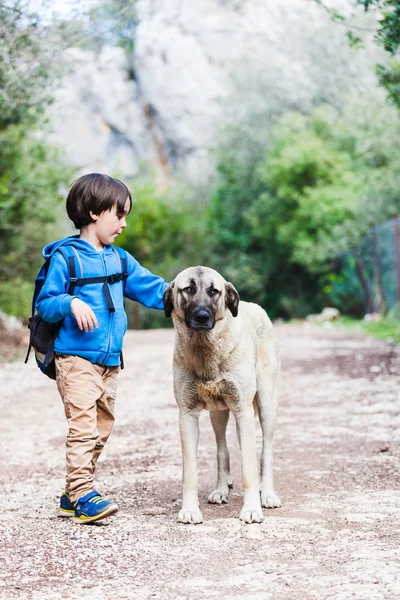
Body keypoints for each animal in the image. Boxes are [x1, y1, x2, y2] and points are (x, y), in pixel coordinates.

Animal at [162, 264, 282, 524]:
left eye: (214, 291)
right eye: (188, 289)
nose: (202, 316)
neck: (205, 349)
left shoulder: (243, 411)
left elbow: (249, 468)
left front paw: (251, 508)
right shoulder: (187, 415)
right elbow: (190, 472)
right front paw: (190, 509)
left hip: (267, 406)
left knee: (265, 453)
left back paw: (267, 494)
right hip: (218, 414)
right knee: (222, 449)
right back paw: (221, 489)